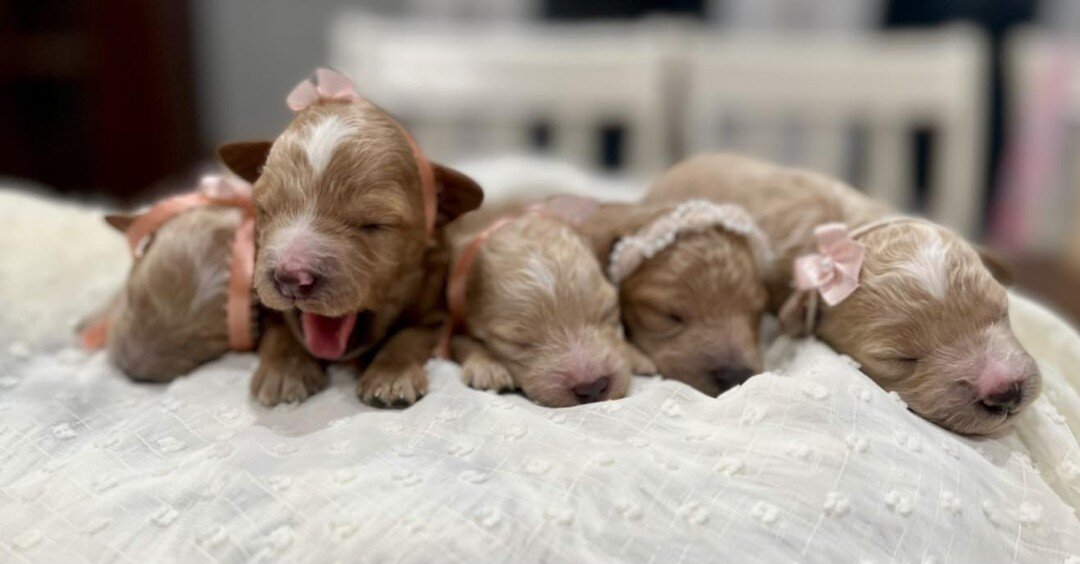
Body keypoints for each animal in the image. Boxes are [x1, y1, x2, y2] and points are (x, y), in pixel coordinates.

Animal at [219, 69, 481, 404]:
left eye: (372, 224)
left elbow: (409, 336)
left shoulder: (436, 311)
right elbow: (281, 327)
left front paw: (390, 376)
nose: (291, 278)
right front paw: (285, 370)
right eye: (265, 210)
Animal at [444, 210, 652, 404]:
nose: (592, 387)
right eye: (517, 342)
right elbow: (462, 342)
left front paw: (636, 355)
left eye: (607, 313)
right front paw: (488, 368)